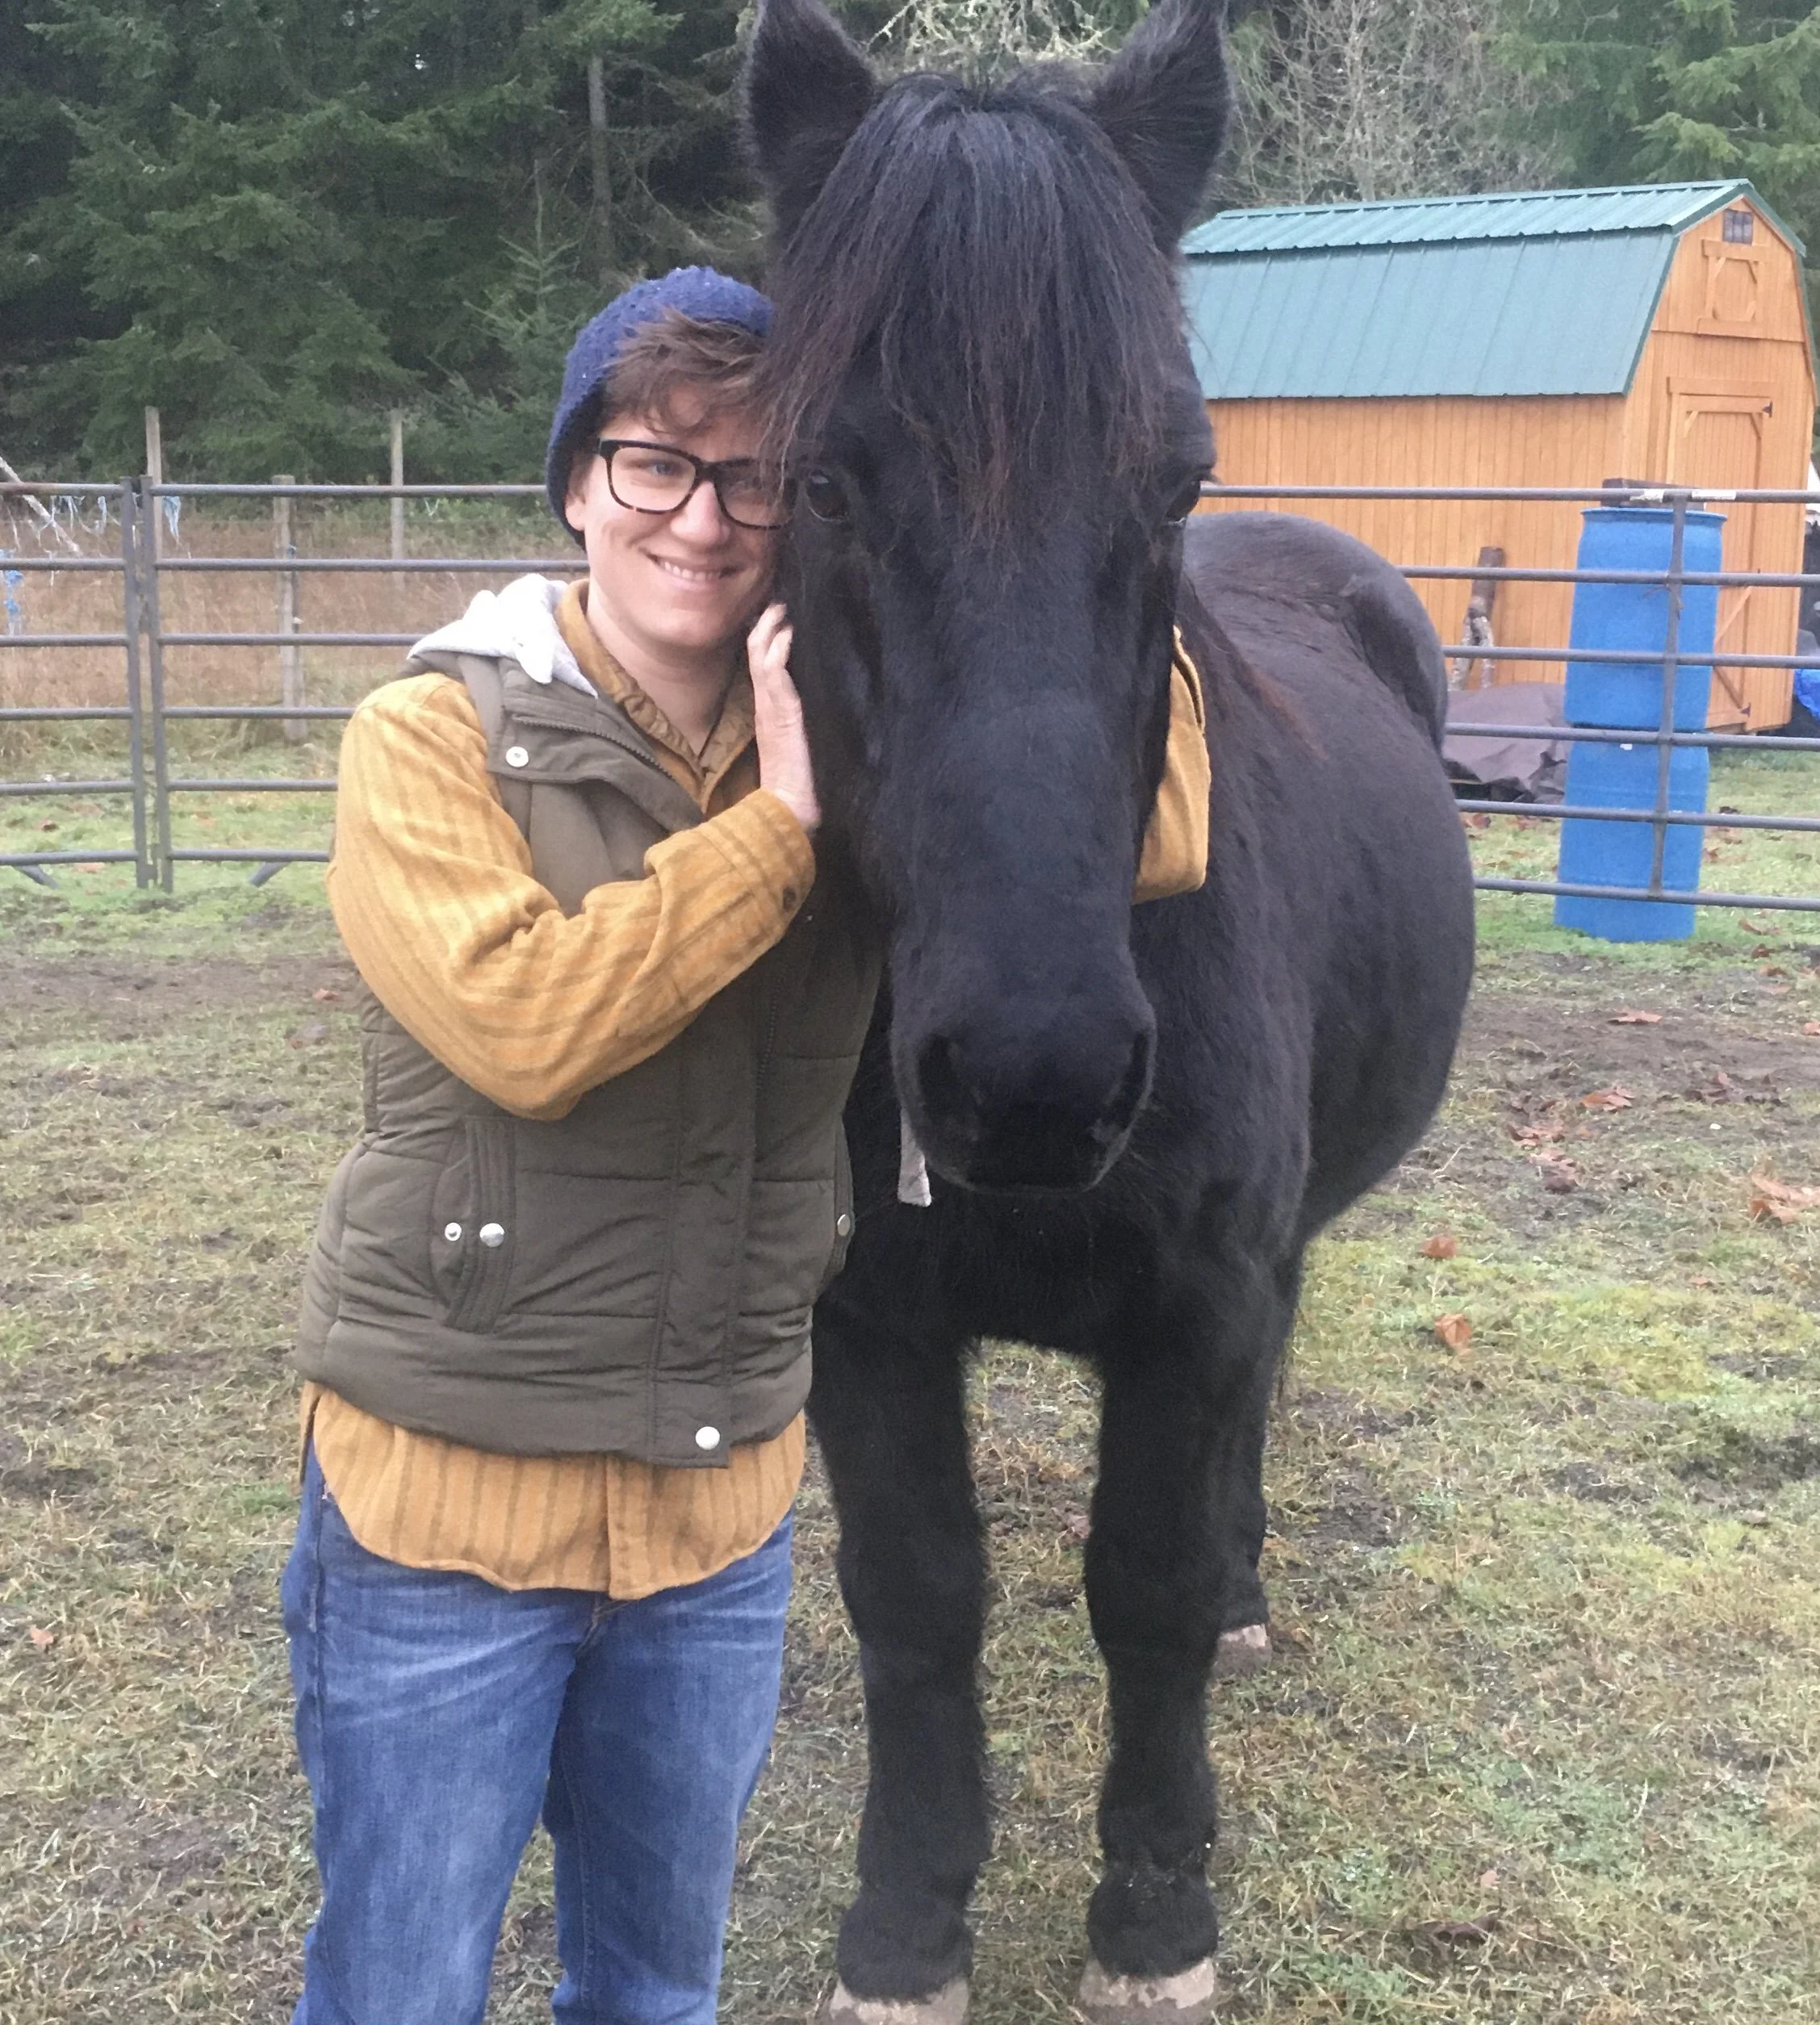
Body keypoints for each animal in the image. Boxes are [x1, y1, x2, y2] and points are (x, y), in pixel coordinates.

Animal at [743, 1, 1476, 2018]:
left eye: (1170, 486)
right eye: (820, 481)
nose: (1032, 1078)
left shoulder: (1190, 1307)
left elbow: (1138, 1585)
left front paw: (1153, 1919)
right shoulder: (865, 1321)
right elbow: (917, 1597)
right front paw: (903, 1927)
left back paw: (1241, 1594)